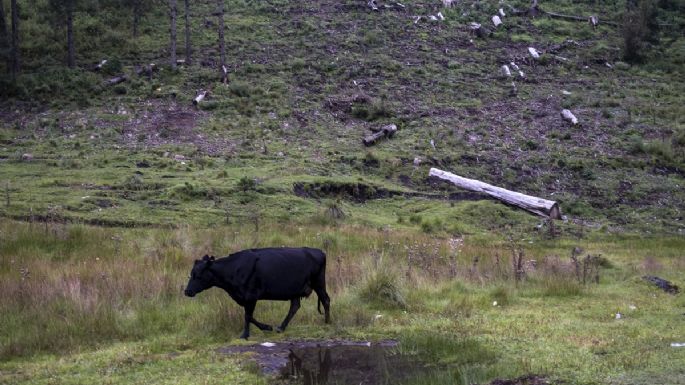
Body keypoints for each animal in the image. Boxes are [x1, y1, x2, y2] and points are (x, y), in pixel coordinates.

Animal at [183, 248, 330, 338]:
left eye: (198, 275)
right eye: (191, 274)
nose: (187, 291)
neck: (233, 269)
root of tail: (319, 251)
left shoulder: (251, 295)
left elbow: (248, 316)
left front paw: (246, 334)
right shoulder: (245, 297)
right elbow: (249, 316)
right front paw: (266, 327)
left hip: (319, 283)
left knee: (325, 299)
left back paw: (327, 322)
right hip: (296, 290)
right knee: (294, 307)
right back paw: (281, 328)